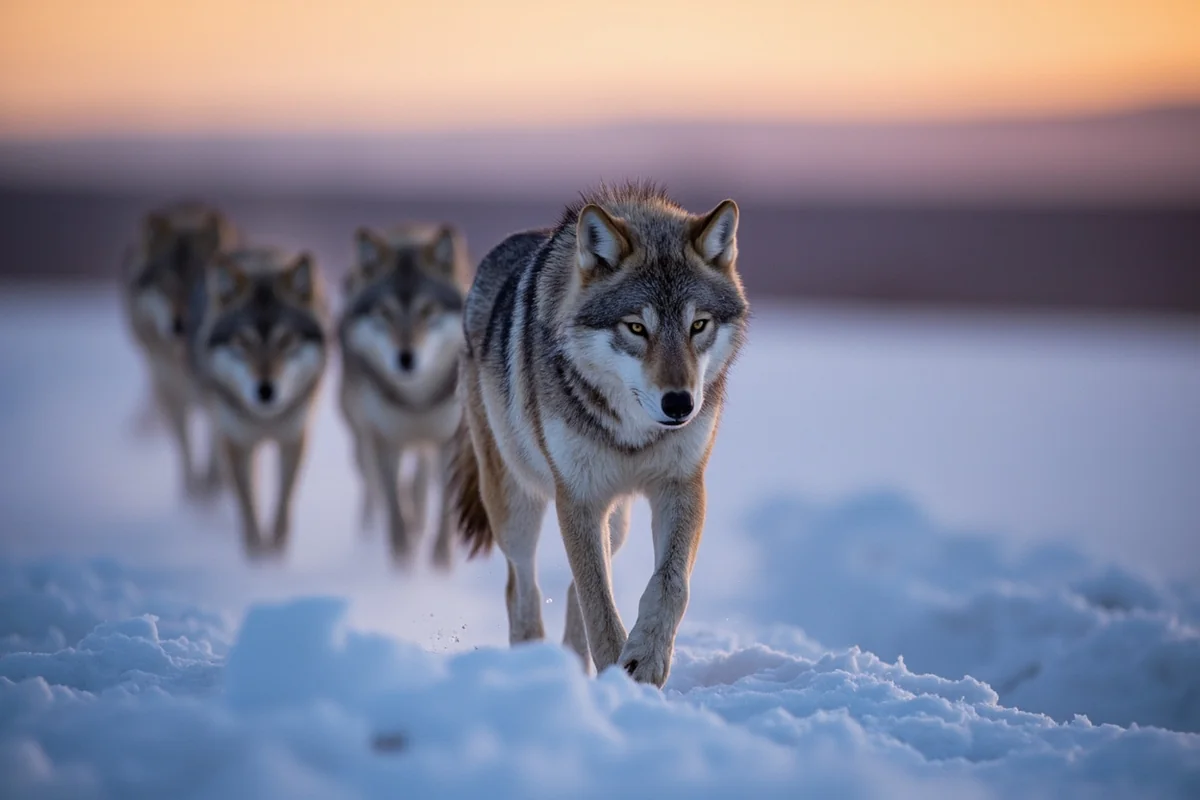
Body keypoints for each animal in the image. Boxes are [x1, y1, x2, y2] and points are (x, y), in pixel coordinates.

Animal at [120, 202, 238, 498]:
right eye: (166, 282)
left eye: (199, 283)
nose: (180, 325)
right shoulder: (170, 391)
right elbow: (184, 446)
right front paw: (191, 493)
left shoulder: (217, 395)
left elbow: (215, 445)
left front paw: (212, 488)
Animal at [188, 247, 329, 557]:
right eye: (243, 342)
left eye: (286, 340)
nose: (265, 390)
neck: (266, 418)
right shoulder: (237, 441)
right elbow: (247, 501)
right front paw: (255, 554)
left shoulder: (294, 437)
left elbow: (284, 498)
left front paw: (275, 552)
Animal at [337, 223, 469, 568]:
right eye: (385, 312)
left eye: (427, 310)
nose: (406, 359)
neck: (415, 402)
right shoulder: (385, 438)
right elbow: (392, 500)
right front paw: (403, 557)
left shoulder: (449, 440)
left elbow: (445, 506)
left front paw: (441, 559)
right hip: (362, 437)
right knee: (375, 487)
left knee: (421, 480)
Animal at [449, 182, 748, 687]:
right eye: (637, 327)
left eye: (698, 325)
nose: (680, 404)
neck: (633, 432)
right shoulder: (579, 496)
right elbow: (600, 609)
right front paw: (621, 678)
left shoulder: (681, 485)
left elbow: (669, 585)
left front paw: (645, 658)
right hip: (516, 507)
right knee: (522, 589)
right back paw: (533, 667)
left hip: (617, 521)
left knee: (577, 586)